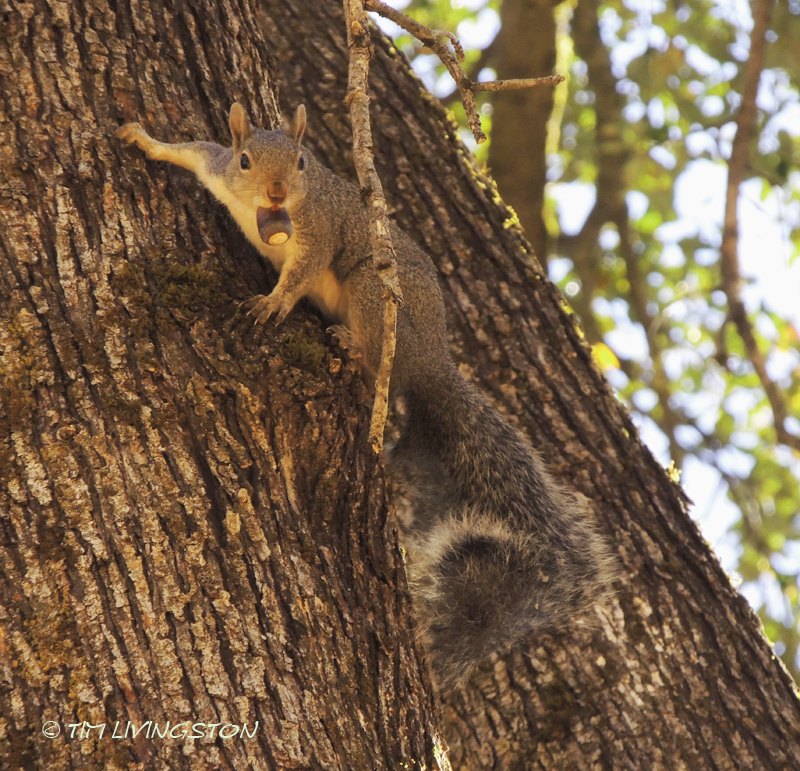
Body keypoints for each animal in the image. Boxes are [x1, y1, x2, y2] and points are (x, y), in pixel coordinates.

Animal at [117, 103, 615, 690]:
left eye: (302, 162)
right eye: (245, 160)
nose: (278, 193)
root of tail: (433, 361)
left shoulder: (319, 231)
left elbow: (301, 273)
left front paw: (273, 302)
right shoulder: (217, 169)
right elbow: (192, 151)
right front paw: (144, 140)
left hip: (374, 293)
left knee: (379, 359)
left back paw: (354, 347)